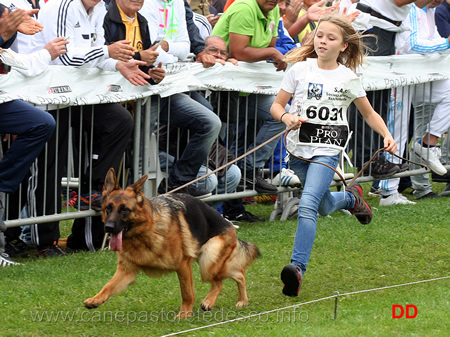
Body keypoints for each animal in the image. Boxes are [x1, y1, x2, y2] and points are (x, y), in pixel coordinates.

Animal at [84, 168, 260, 318]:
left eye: (124, 209)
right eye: (108, 208)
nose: (108, 227)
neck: (144, 233)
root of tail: (229, 224)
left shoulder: (183, 265)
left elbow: (187, 293)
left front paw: (184, 315)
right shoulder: (126, 272)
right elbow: (108, 285)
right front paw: (96, 299)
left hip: (209, 259)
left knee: (233, 276)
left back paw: (231, 301)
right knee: (231, 276)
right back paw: (231, 301)